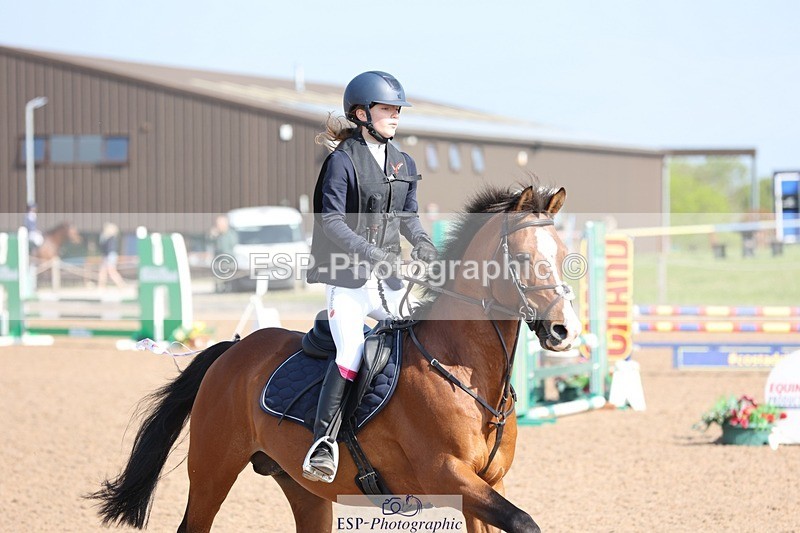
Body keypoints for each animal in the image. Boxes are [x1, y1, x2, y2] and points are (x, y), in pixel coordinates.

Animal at [90, 184, 582, 533]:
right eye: (523, 259)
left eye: (563, 255)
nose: (566, 331)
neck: (463, 371)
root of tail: (233, 350)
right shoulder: (446, 475)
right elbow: (525, 521)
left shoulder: (487, 484)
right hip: (213, 470)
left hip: (302, 487)